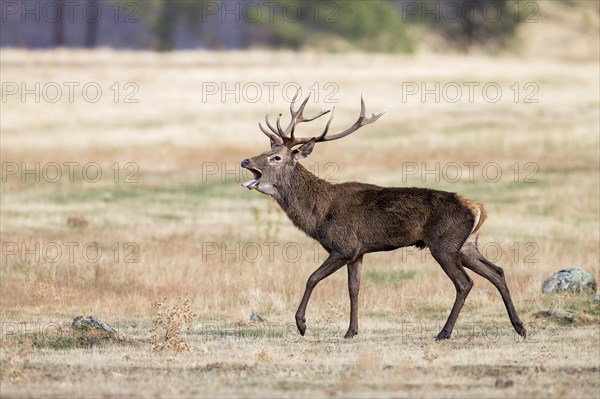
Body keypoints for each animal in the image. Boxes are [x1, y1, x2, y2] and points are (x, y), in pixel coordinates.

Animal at [239, 92, 524, 342]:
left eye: (275, 157)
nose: (244, 161)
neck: (317, 214)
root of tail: (477, 208)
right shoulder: (358, 253)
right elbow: (354, 289)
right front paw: (351, 331)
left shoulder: (344, 246)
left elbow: (312, 278)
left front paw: (301, 325)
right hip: (465, 245)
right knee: (497, 271)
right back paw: (519, 326)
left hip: (444, 243)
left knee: (465, 283)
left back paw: (444, 333)